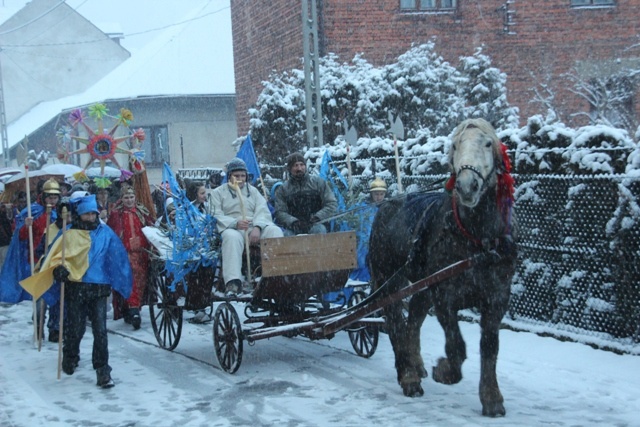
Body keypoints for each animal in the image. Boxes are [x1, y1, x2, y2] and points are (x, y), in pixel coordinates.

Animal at [368, 118, 516, 418]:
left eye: (487, 143)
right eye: (456, 145)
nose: (467, 185)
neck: (478, 241)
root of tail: (385, 205)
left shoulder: (497, 297)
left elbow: (490, 347)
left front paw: (492, 397)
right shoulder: (444, 294)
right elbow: (456, 345)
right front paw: (445, 371)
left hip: (420, 285)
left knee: (412, 320)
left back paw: (415, 364)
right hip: (388, 278)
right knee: (395, 322)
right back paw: (408, 375)